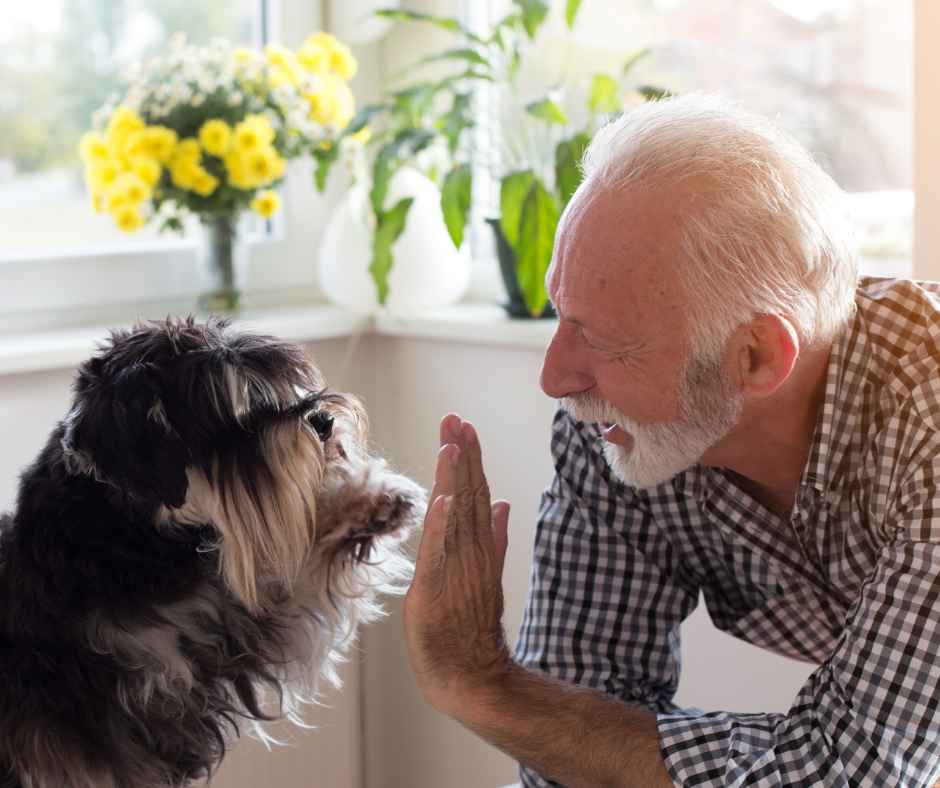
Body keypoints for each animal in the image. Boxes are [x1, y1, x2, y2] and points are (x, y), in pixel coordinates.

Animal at [0, 318, 422, 788]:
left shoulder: (220, 623)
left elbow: (298, 573)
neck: (122, 538)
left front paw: (370, 500)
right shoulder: (170, 675)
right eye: (230, 418)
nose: (324, 420)